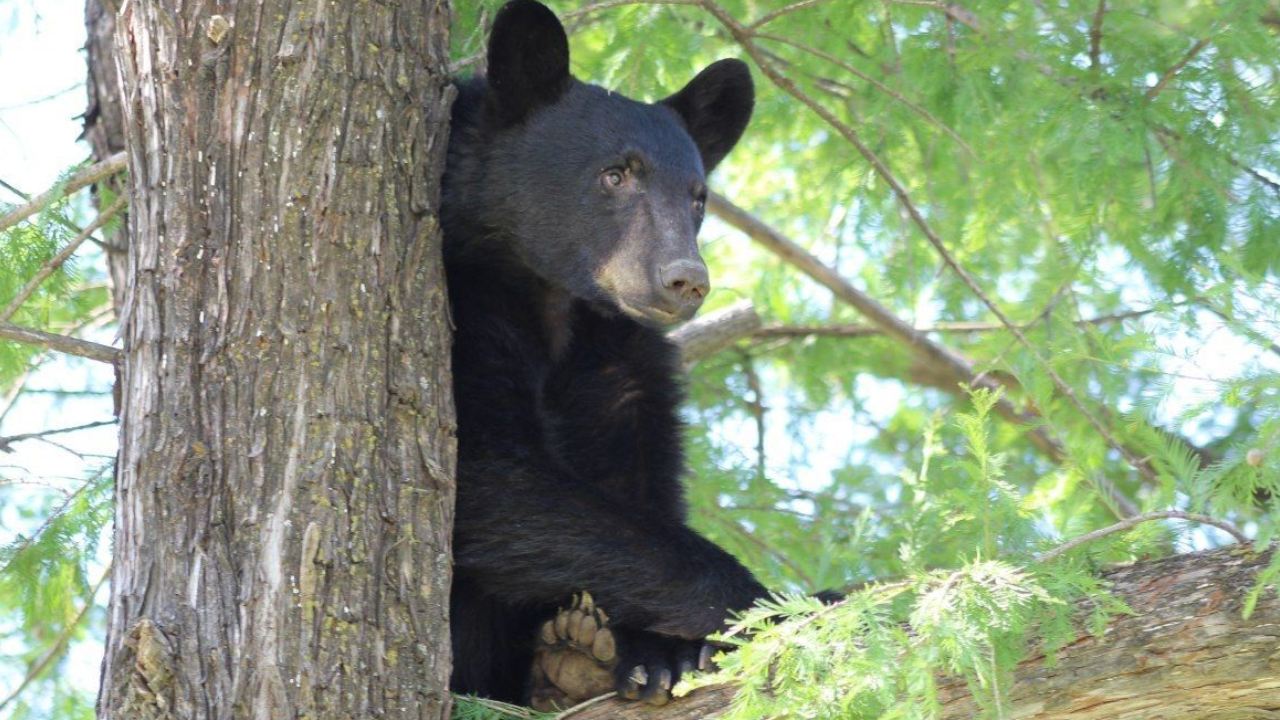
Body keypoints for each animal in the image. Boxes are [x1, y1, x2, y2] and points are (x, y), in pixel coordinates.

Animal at [445, 0, 768, 707]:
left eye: (697, 196)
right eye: (615, 174)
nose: (685, 280)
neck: (557, 302)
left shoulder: (617, 357)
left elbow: (635, 474)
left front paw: (657, 652)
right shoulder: (466, 303)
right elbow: (487, 469)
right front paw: (765, 605)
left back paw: (572, 657)